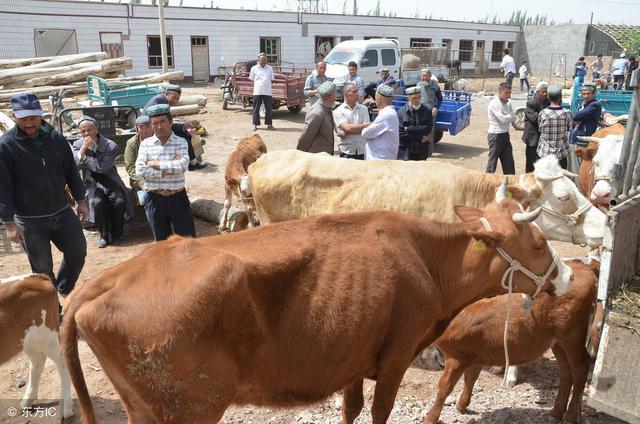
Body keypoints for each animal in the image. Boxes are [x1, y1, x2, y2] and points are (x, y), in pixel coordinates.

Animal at [0, 274, 73, 418]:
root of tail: (37, 277)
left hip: (47, 336)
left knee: (61, 362)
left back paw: (66, 408)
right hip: (25, 340)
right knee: (37, 361)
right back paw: (27, 401)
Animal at [60, 199, 572, 424]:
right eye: (539, 242)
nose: (566, 277)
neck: (425, 258)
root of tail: (115, 274)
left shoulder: (353, 354)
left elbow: (350, 408)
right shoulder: (396, 356)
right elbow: (379, 411)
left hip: (142, 407)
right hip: (190, 409)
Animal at [424, 260, 600, 424]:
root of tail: (585, 270)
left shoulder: (458, 356)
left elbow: (444, 388)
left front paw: (431, 418)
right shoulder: (476, 355)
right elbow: (470, 379)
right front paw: (462, 405)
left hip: (572, 335)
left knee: (580, 367)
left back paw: (571, 416)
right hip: (557, 342)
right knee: (565, 371)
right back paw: (556, 412)